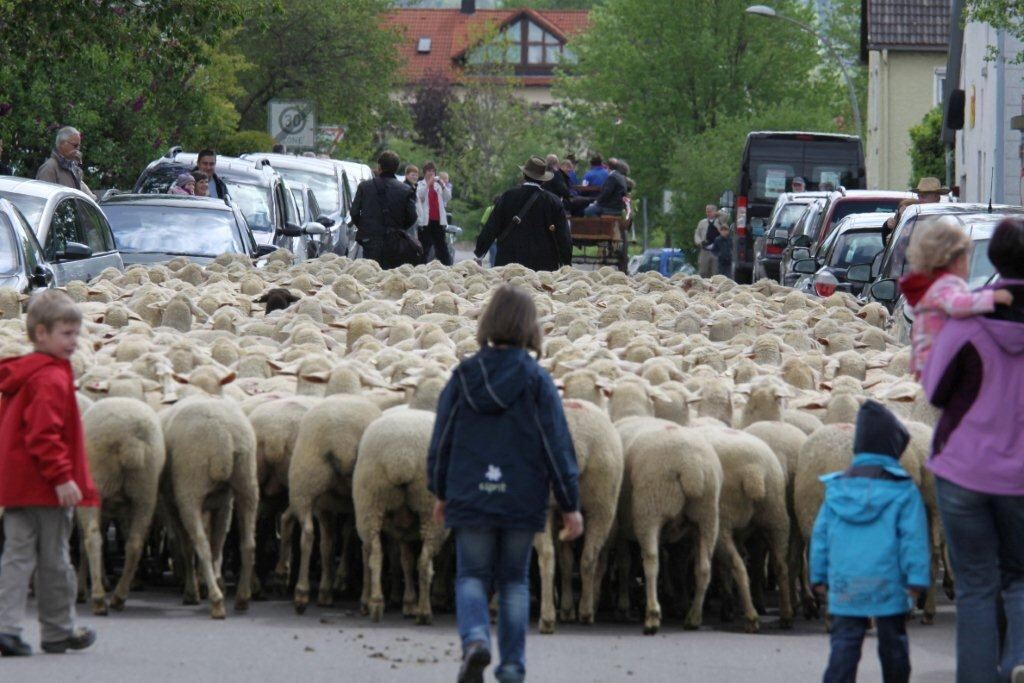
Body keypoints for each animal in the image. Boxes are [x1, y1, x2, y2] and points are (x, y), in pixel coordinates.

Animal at [78, 397, 165, 618]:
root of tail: (132, 435)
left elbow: (82, 543)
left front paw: (81, 590)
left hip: (96, 485)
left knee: (93, 537)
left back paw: (99, 599)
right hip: (145, 491)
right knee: (135, 543)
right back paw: (119, 597)